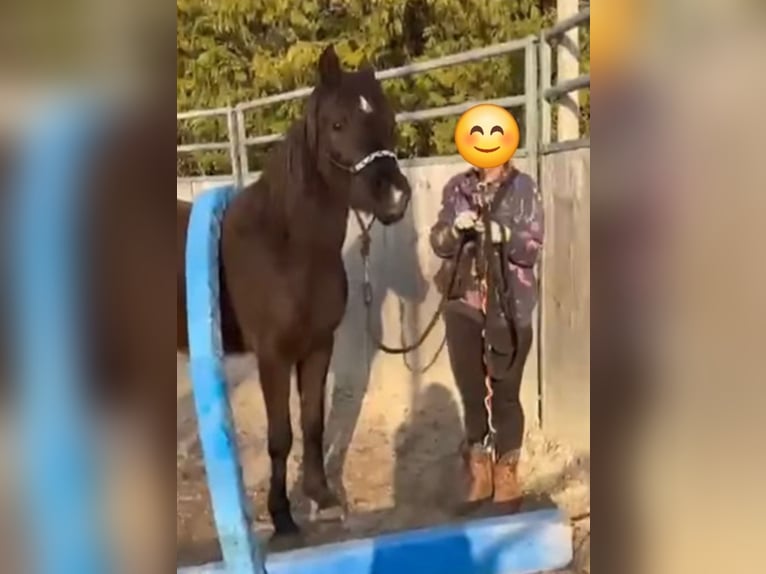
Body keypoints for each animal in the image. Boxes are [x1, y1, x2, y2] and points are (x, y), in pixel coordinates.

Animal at [176, 45, 413, 535]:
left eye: (388, 118)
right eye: (338, 123)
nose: (395, 197)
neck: (288, 249)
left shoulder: (318, 347)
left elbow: (313, 423)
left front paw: (322, 496)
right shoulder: (273, 356)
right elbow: (280, 435)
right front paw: (282, 514)